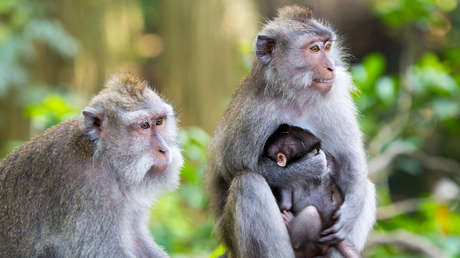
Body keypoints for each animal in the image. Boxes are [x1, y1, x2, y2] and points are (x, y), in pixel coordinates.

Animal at [0, 73, 183, 256]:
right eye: (144, 125)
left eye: (159, 121)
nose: (164, 149)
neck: (105, 159)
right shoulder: (91, 192)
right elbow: (106, 251)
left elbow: (136, 238)